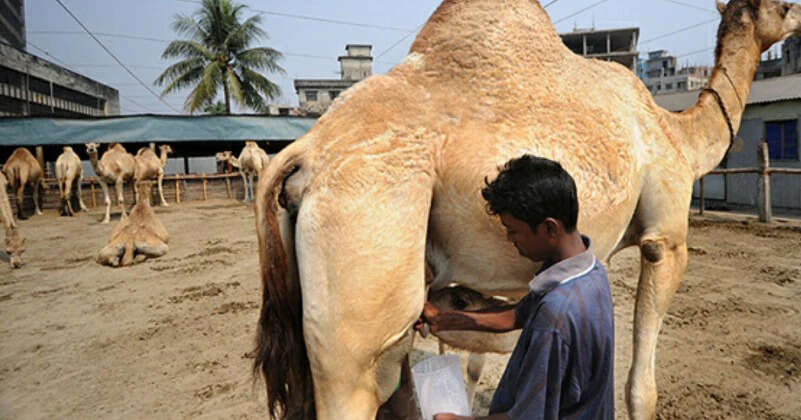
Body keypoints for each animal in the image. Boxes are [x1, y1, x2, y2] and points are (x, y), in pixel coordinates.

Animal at [251, 1, 801, 419]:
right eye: (783, 7)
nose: (799, 18)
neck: (678, 134)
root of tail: (302, 155)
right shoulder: (664, 238)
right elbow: (640, 387)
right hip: (366, 239)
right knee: (359, 381)